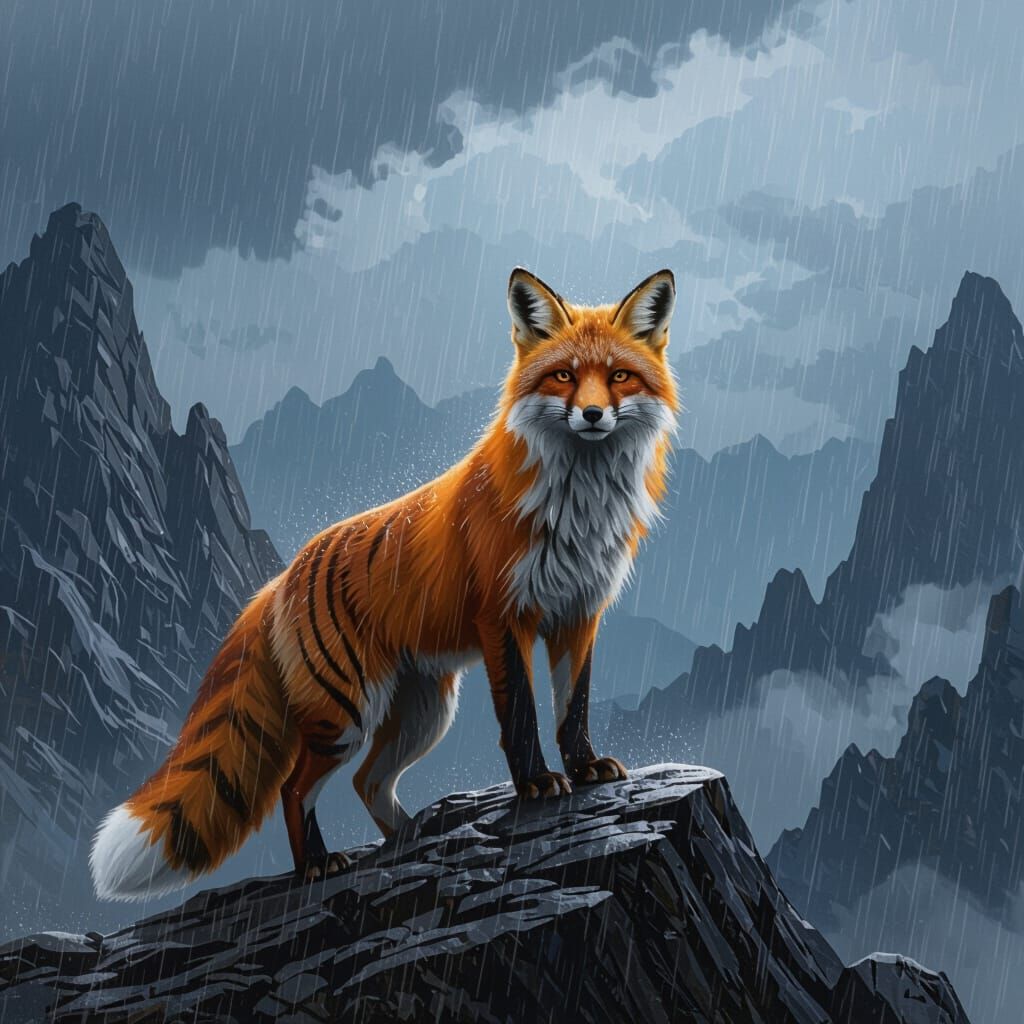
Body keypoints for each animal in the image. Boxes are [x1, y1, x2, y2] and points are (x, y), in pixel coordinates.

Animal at [90, 267, 678, 899]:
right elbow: (520, 716)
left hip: (424, 714)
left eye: (618, 377)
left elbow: (574, 707)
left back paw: (414, 837)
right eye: (564, 376)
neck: (579, 506)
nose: (592, 415)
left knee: (368, 782)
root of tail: (280, 578)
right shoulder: (504, 617)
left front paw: (584, 768)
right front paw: (538, 782)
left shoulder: (578, 614)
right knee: (294, 788)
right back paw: (318, 864)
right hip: (346, 713)